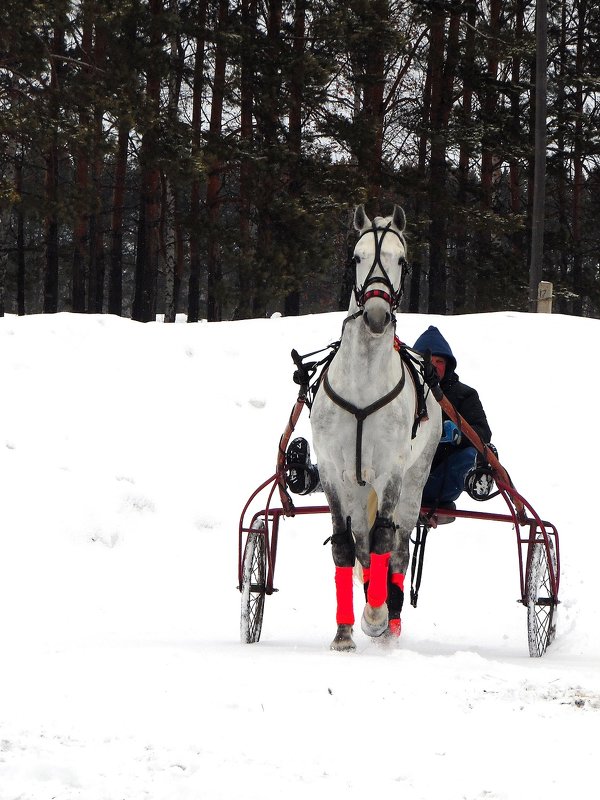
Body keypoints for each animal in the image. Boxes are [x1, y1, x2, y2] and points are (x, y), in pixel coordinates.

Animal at [312, 205, 442, 648]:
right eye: (357, 256)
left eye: (401, 260)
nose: (376, 315)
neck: (364, 381)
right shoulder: (332, 469)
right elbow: (344, 544)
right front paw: (344, 633)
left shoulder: (391, 470)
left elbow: (385, 538)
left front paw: (376, 616)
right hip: (356, 485)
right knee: (363, 546)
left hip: (416, 480)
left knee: (398, 547)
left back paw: (389, 619)